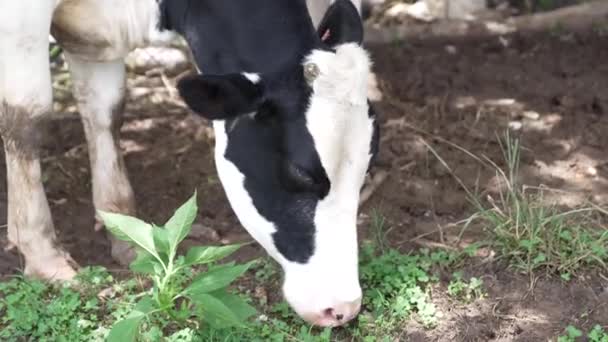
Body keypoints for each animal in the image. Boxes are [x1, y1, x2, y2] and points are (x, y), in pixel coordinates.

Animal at [0, 0, 378, 328]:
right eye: (299, 173)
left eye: (365, 169)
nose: (342, 307)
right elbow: (26, 118)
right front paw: (44, 258)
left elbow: (105, 110)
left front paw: (123, 230)